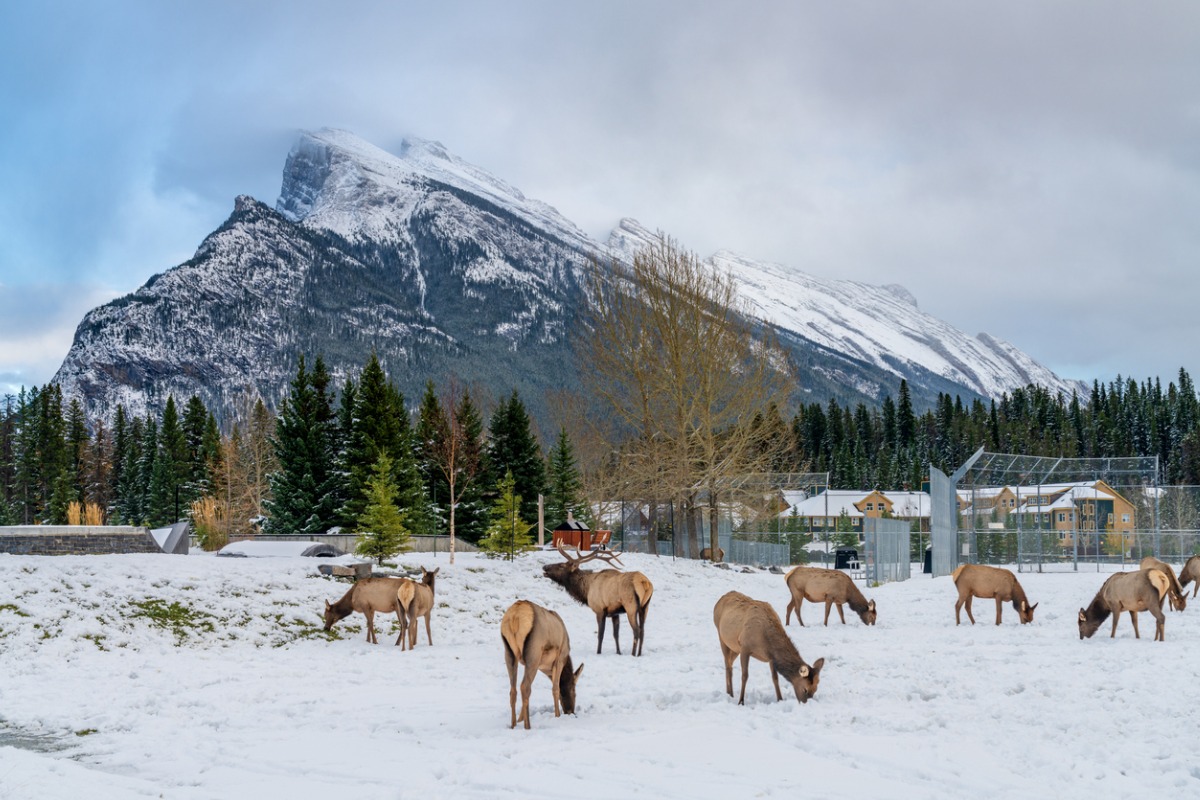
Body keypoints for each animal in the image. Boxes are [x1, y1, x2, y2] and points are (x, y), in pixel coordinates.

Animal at [501, 600, 584, 730]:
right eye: (574, 690)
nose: (570, 711)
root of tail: (515, 616)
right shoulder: (559, 659)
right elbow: (556, 689)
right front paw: (557, 715)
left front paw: (520, 719)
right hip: (534, 654)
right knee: (524, 686)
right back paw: (528, 726)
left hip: (509, 653)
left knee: (513, 690)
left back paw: (513, 725)